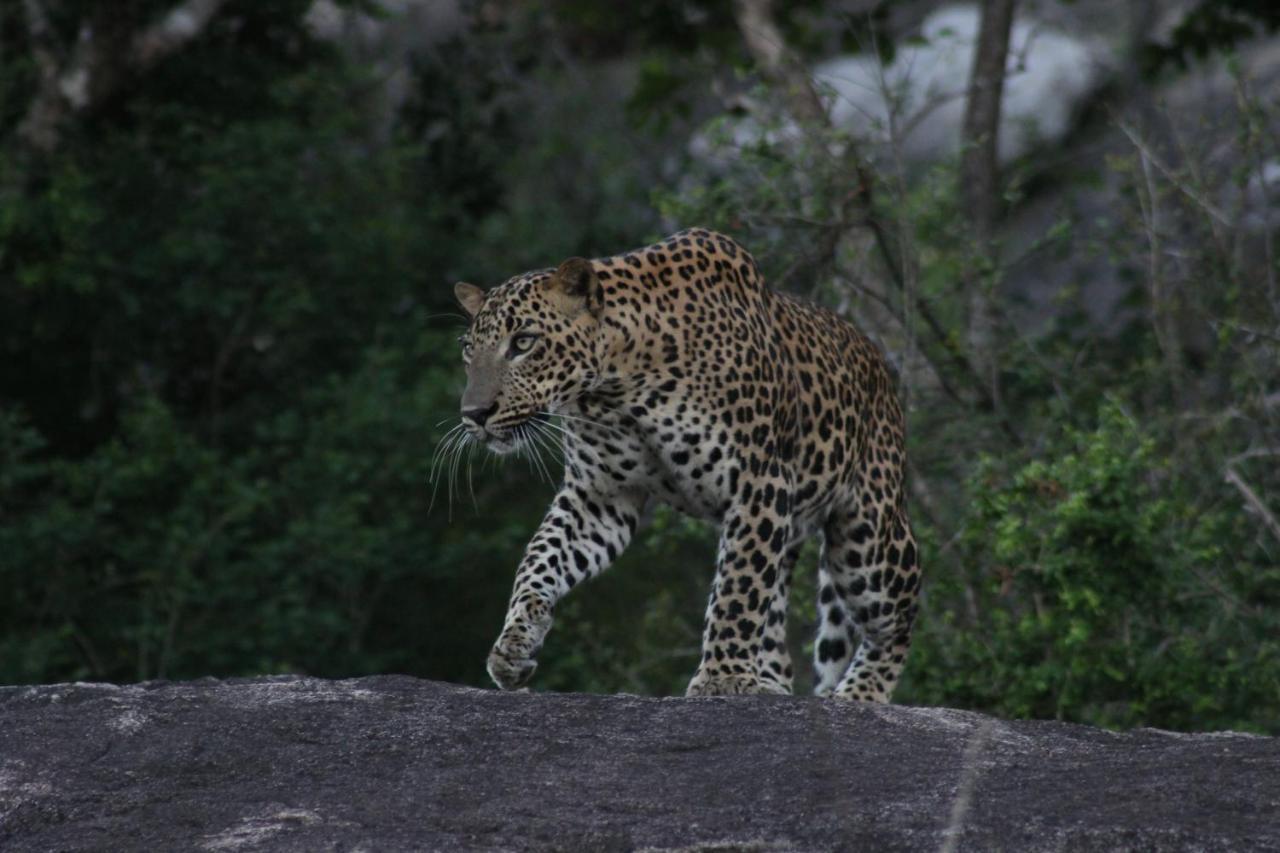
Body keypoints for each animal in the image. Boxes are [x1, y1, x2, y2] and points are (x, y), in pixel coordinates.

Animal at [450, 227, 921, 696]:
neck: (617, 386)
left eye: (523, 343)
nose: (474, 414)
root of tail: (878, 362)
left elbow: (737, 590)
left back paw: (860, 692)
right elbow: (539, 561)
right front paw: (514, 644)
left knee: (903, 609)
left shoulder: (759, 483)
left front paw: (722, 678)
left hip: (866, 536)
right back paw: (769, 683)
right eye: (469, 351)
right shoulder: (601, 497)